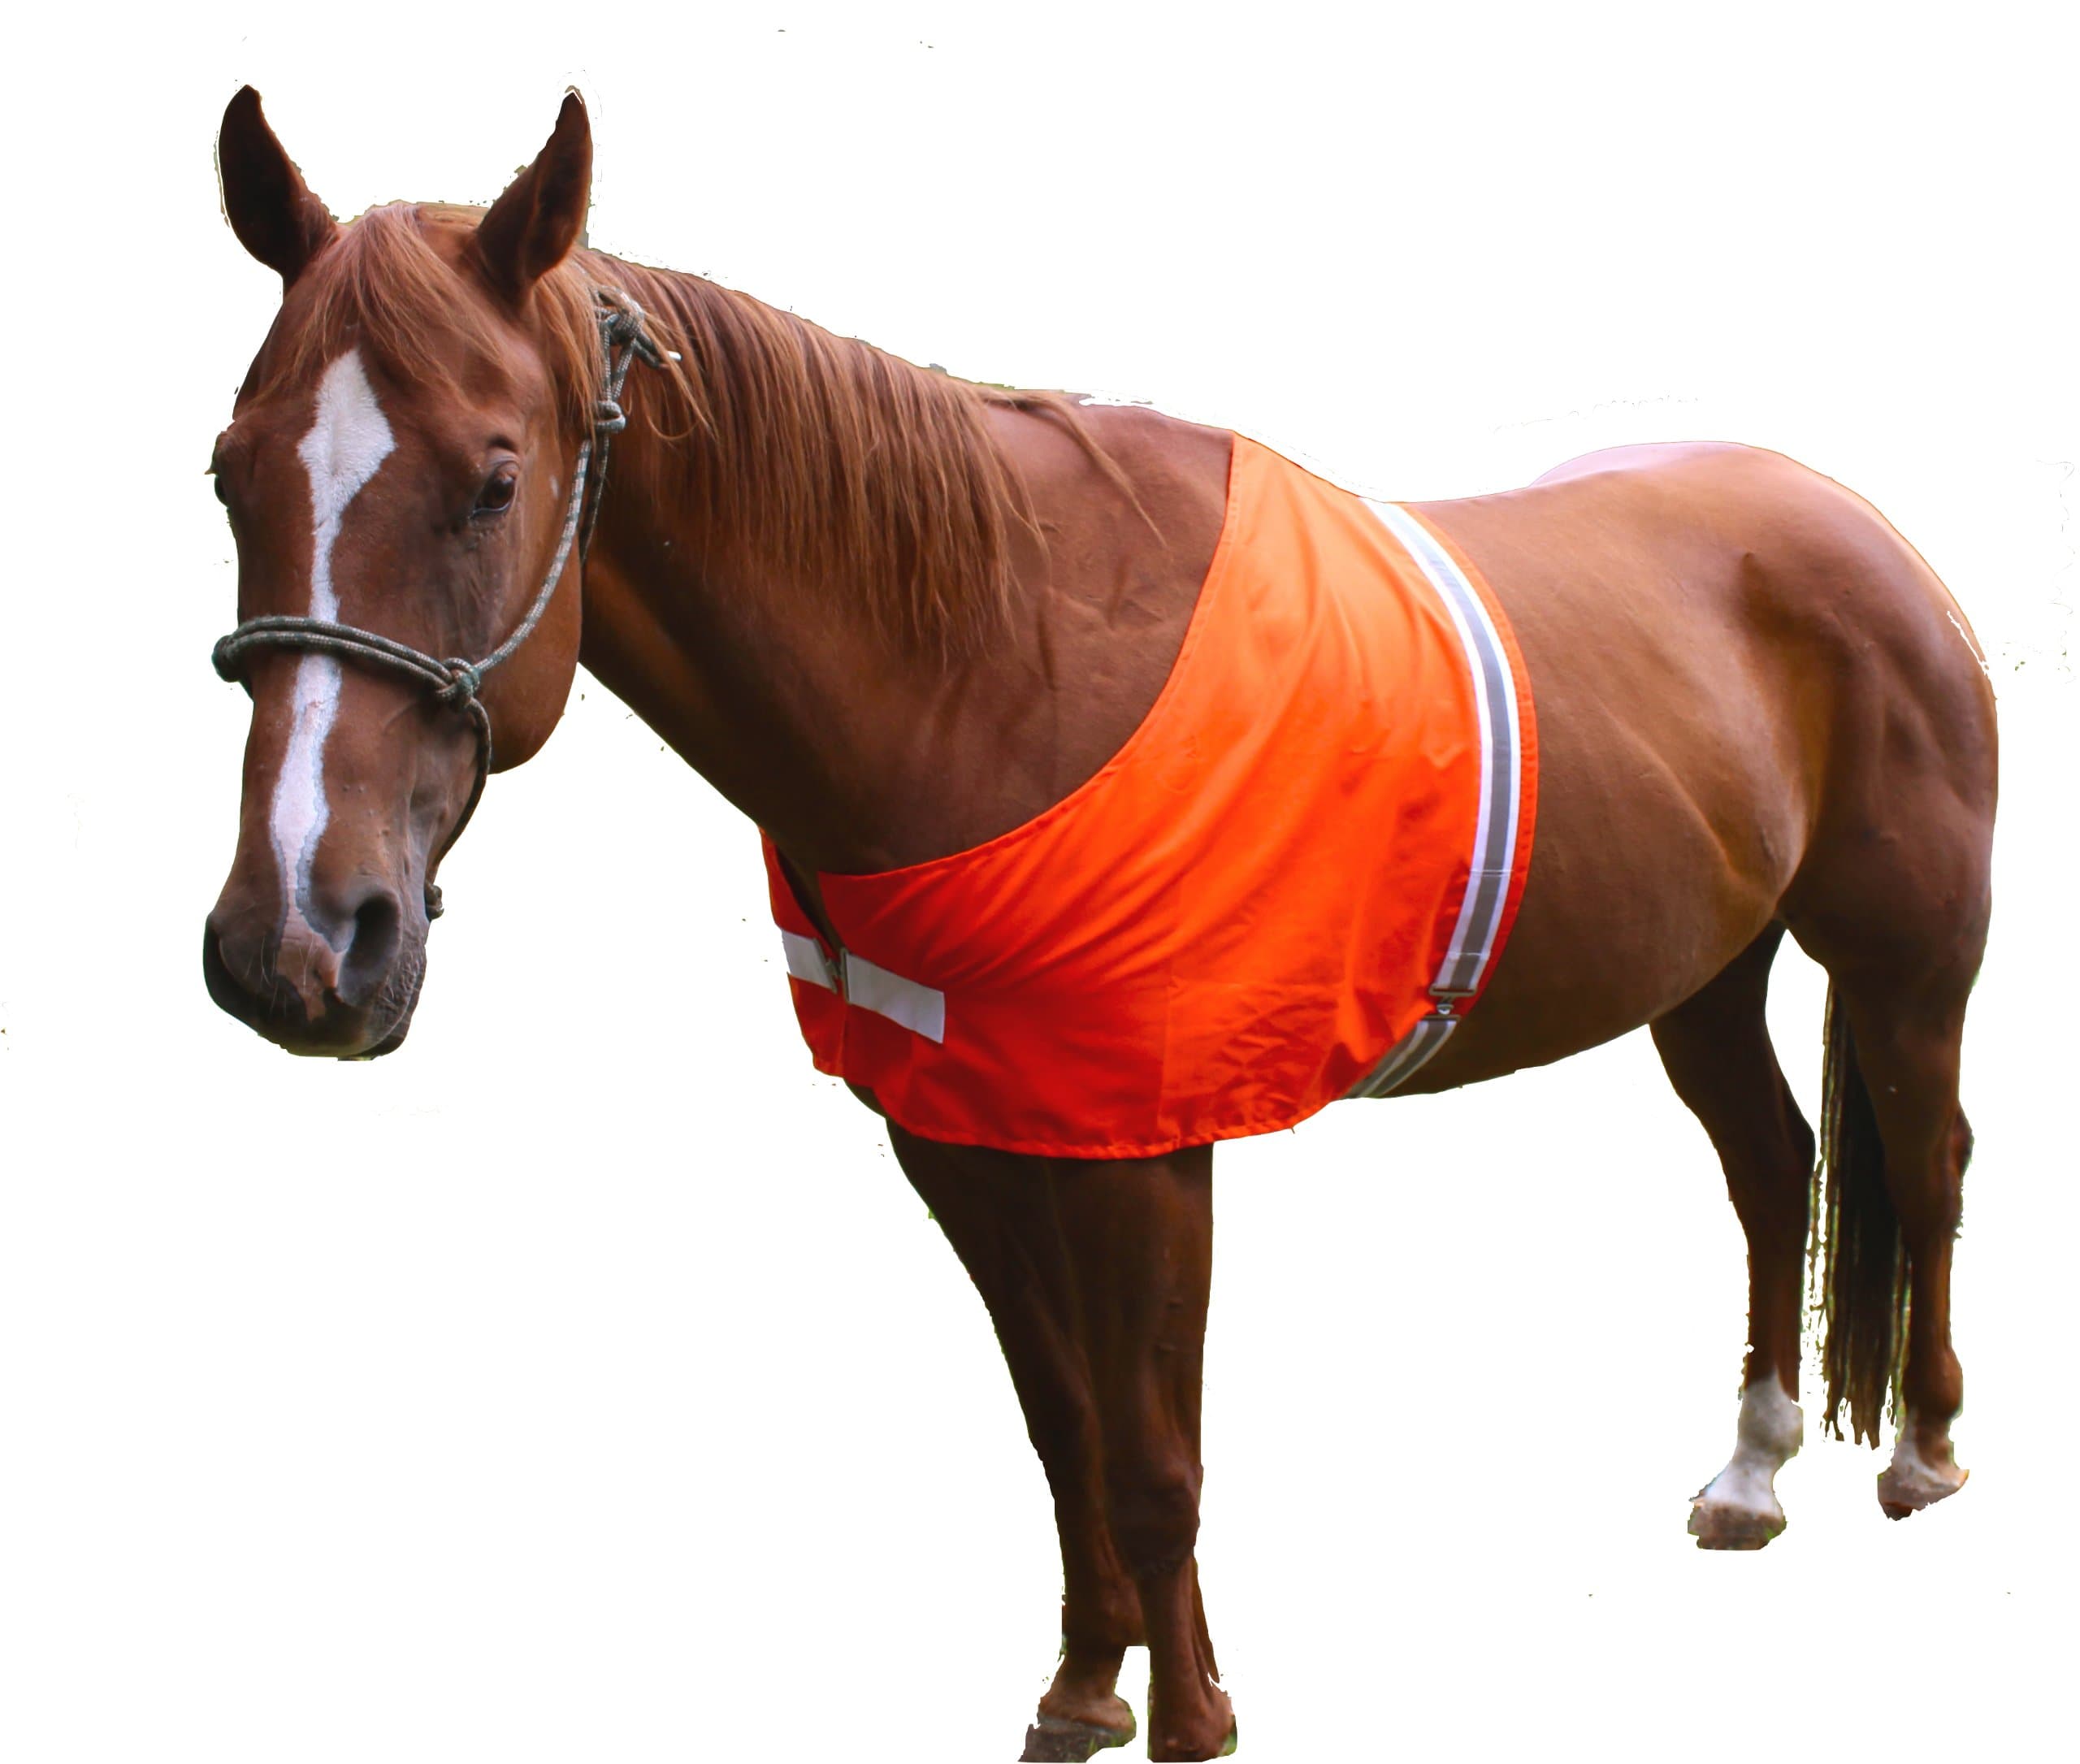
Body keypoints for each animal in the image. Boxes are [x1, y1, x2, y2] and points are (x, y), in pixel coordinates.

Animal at [200, 89, 1997, 1762]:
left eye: (493, 477)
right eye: (229, 472)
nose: (295, 946)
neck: (1003, 666)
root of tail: (1863, 534)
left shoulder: (1146, 1153)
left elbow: (1150, 1454)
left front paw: (1191, 1714)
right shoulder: (966, 1135)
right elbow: (1063, 1431)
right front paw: (1081, 1684)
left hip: (1906, 972)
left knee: (1925, 1157)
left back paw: (1921, 1451)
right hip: (1702, 968)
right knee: (1771, 1163)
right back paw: (1752, 1470)